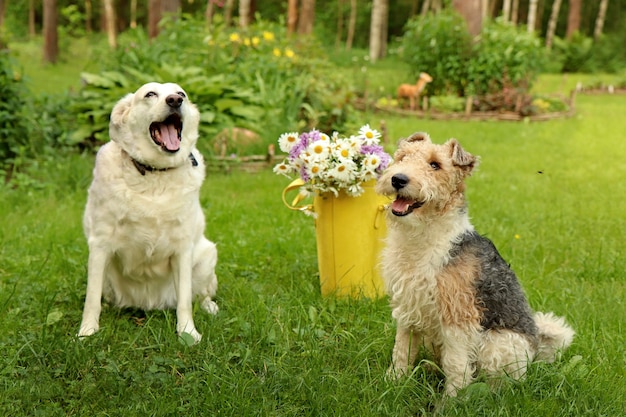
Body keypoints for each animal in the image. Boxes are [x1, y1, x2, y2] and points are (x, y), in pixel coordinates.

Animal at [79, 81, 218, 342]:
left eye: (181, 93)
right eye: (150, 94)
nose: (175, 100)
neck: (154, 174)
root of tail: (151, 305)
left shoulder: (183, 249)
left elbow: (185, 301)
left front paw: (187, 332)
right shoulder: (100, 244)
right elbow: (91, 300)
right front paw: (87, 332)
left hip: (206, 256)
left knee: (200, 294)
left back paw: (209, 306)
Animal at [372, 132, 572, 394]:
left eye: (435, 165)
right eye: (402, 157)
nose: (398, 179)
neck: (422, 238)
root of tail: (537, 345)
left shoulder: (458, 316)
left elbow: (456, 365)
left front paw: (452, 398)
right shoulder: (408, 306)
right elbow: (402, 351)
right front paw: (394, 382)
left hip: (496, 344)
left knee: (502, 380)